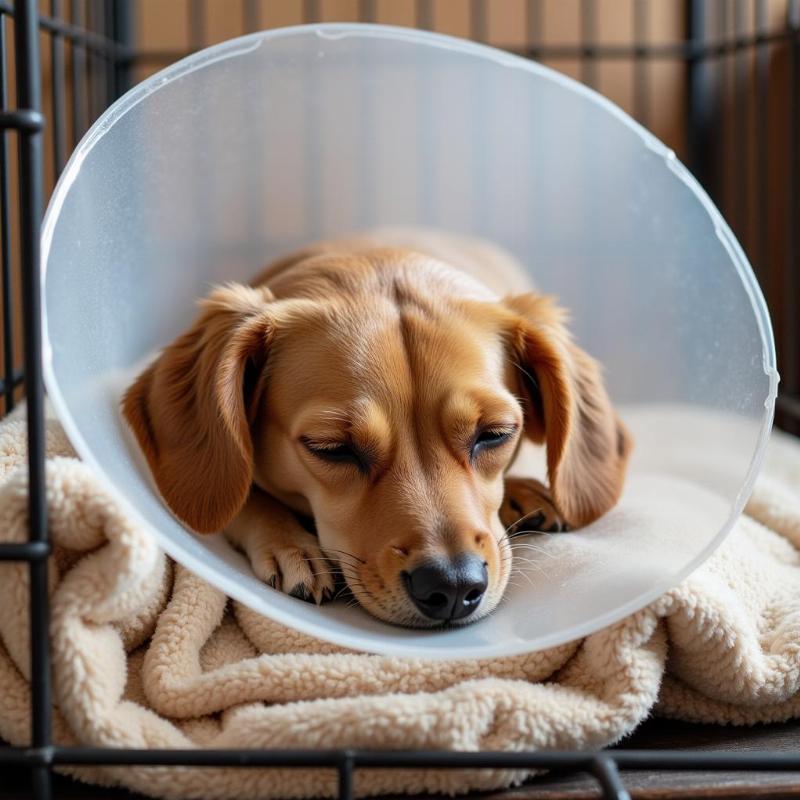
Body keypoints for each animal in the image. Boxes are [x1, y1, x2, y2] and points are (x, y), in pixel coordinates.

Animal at [122, 228, 632, 628]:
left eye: (496, 433)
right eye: (330, 448)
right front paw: (291, 543)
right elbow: (244, 493)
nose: (452, 586)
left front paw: (522, 490)